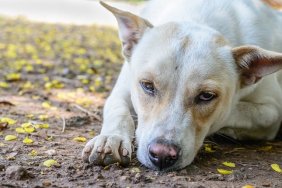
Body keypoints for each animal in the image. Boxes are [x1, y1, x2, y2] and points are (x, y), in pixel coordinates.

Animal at [82, 0, 282, 170]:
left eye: (206, 96)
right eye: (147, 86)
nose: (162, 155)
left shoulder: (272, 113)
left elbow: (232, 111)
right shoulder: (122, 89)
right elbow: (118, 111)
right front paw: (110, 139)